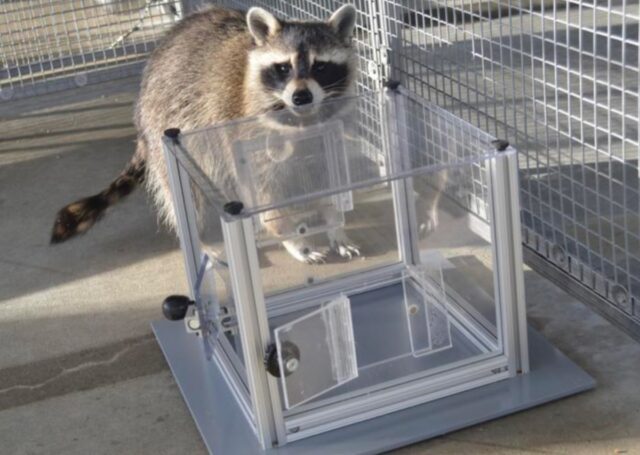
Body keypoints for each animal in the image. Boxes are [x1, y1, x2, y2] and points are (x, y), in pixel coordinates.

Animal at [51, 5, 359, 264]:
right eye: (283, 67)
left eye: (320, 66)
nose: (301, 97)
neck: (300, 120)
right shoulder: (246, 134)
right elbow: (265, 196)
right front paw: (294, 237)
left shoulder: (327, 136)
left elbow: (328, 180)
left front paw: (334, 223)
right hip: (165, 126)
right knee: (184, 197)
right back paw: (198, 241)